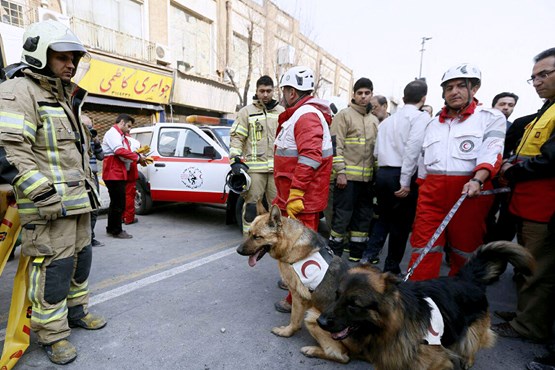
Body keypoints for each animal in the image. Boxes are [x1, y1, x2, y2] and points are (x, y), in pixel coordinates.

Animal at [314, 241, 536, 368]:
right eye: (337, 295)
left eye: (354, 305)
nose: (320, 322)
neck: (392, 326)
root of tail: (466, 278)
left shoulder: (433, 363)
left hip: (469, 334)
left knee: (472, 344)